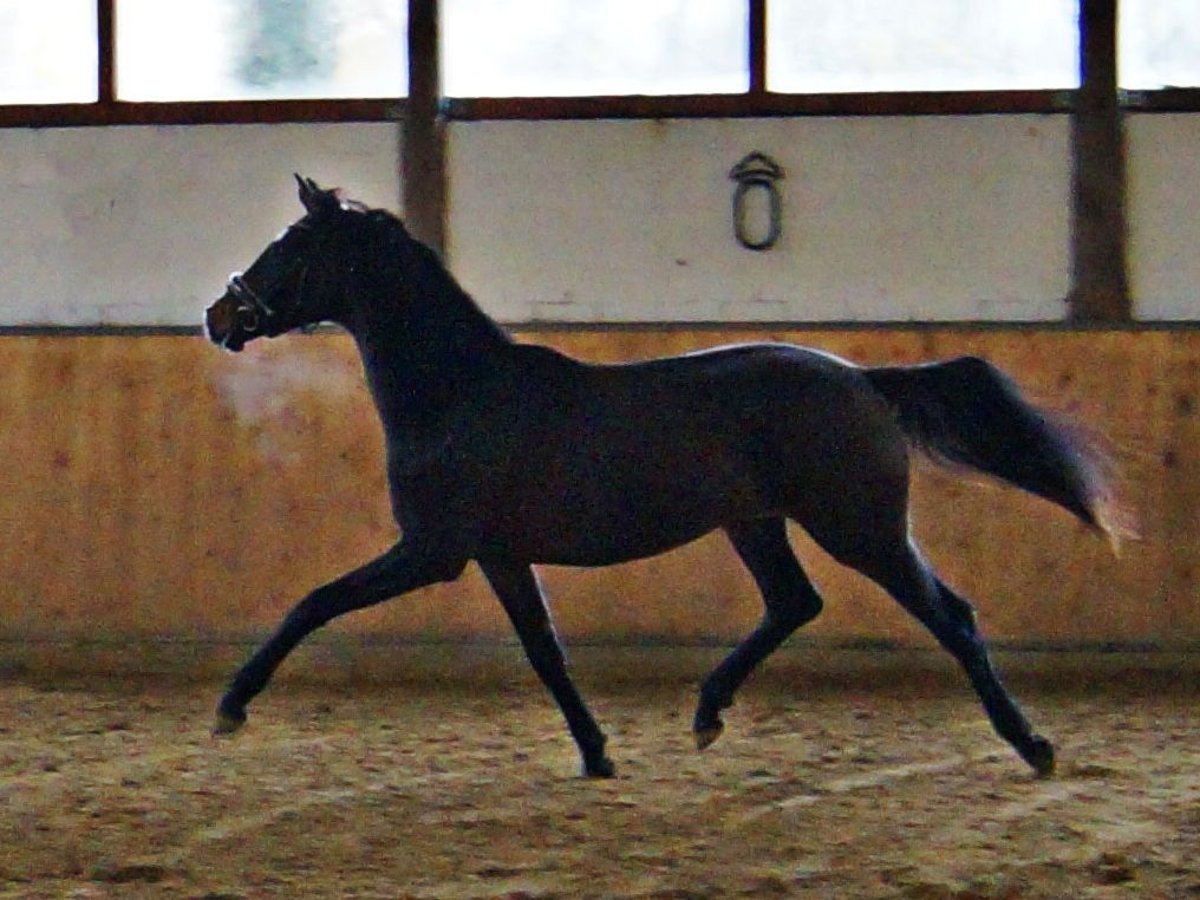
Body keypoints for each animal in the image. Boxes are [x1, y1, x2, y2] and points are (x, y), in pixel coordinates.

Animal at [206, 176, 1123, 782]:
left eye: (290, 248)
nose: (220, 316)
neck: (459, 393)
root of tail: (864, 379)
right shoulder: (498, 555)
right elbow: (545, 652)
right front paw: (597, 754)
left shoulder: (434, 549)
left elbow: (314, 603)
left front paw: (231, 707)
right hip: (757, 521)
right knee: (795, 603)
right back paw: (708, 714)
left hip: (857, 526)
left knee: (948, 616)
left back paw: (1033, 746)